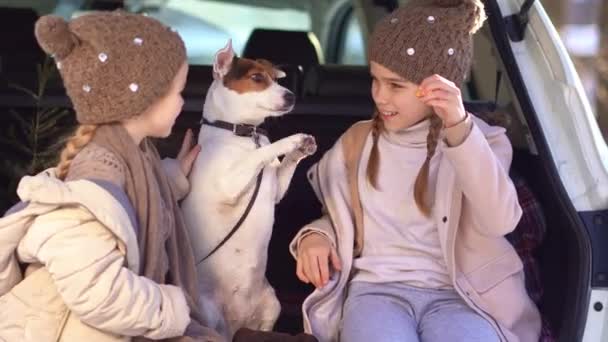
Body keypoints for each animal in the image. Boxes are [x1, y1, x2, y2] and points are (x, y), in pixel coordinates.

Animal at [182, 40, 318, 340]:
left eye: (275, 79)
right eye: (257, 78)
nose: (291, 96)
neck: (243, 134)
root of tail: (236, 322)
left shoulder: (277, 188)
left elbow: (282, 167)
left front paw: (300, 149)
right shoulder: (229, 184)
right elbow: (262, 152)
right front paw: (289, 141)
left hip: (272, 303)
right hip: (209, 312)